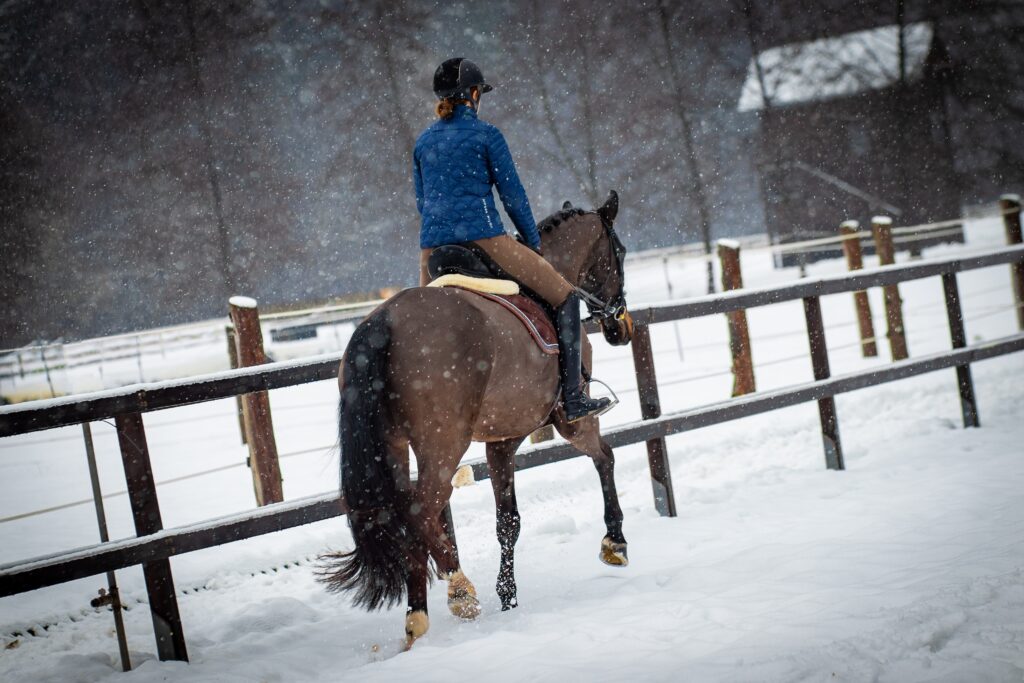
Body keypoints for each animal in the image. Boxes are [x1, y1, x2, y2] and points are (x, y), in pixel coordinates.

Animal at [319, 190, 634, 650]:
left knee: (411, 514)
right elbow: (605, 458)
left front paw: (508, 594)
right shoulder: (566, 423)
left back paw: (422, 615)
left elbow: (507, 521)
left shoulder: (499, 441)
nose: (621, 326)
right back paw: (458, 592)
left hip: (395, 447)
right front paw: (615, 542)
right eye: (620, 252)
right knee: (421, 511)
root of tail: (385, 321)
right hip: (444, 444)